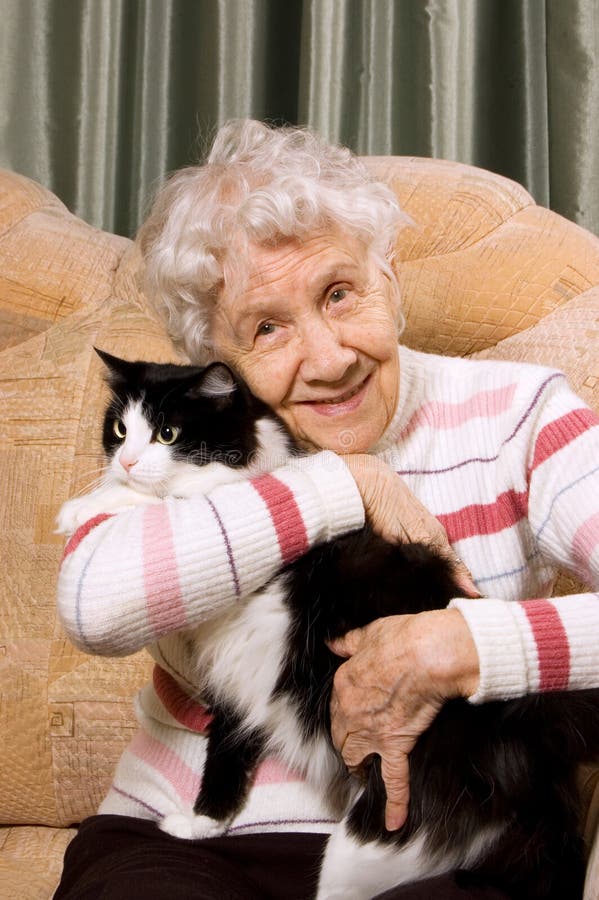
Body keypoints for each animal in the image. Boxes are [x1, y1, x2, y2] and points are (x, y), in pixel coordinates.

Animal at [57, 352, 599, 900]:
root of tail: (536, 740)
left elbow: (176, 498)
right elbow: (225, 756)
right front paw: (199, 824)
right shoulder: (237, 686)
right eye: (121, 429)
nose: (125, 461)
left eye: (167, 433)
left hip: (370, 838)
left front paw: (86, 506)